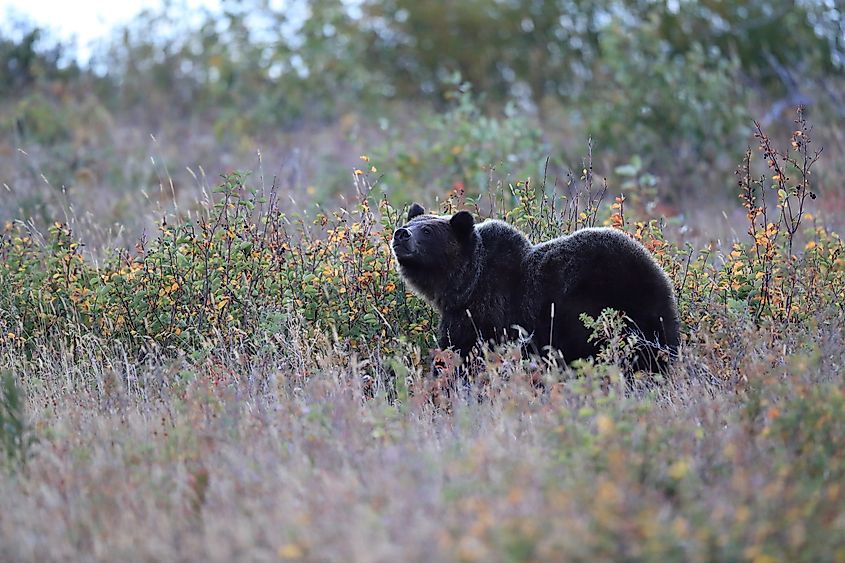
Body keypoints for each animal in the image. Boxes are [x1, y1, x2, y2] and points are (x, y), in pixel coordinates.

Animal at [391, 203, 681, 374]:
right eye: (409, 223)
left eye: (428, 230)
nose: (401, 234)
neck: (466, 284)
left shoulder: (484, 313)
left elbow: (462, 352)